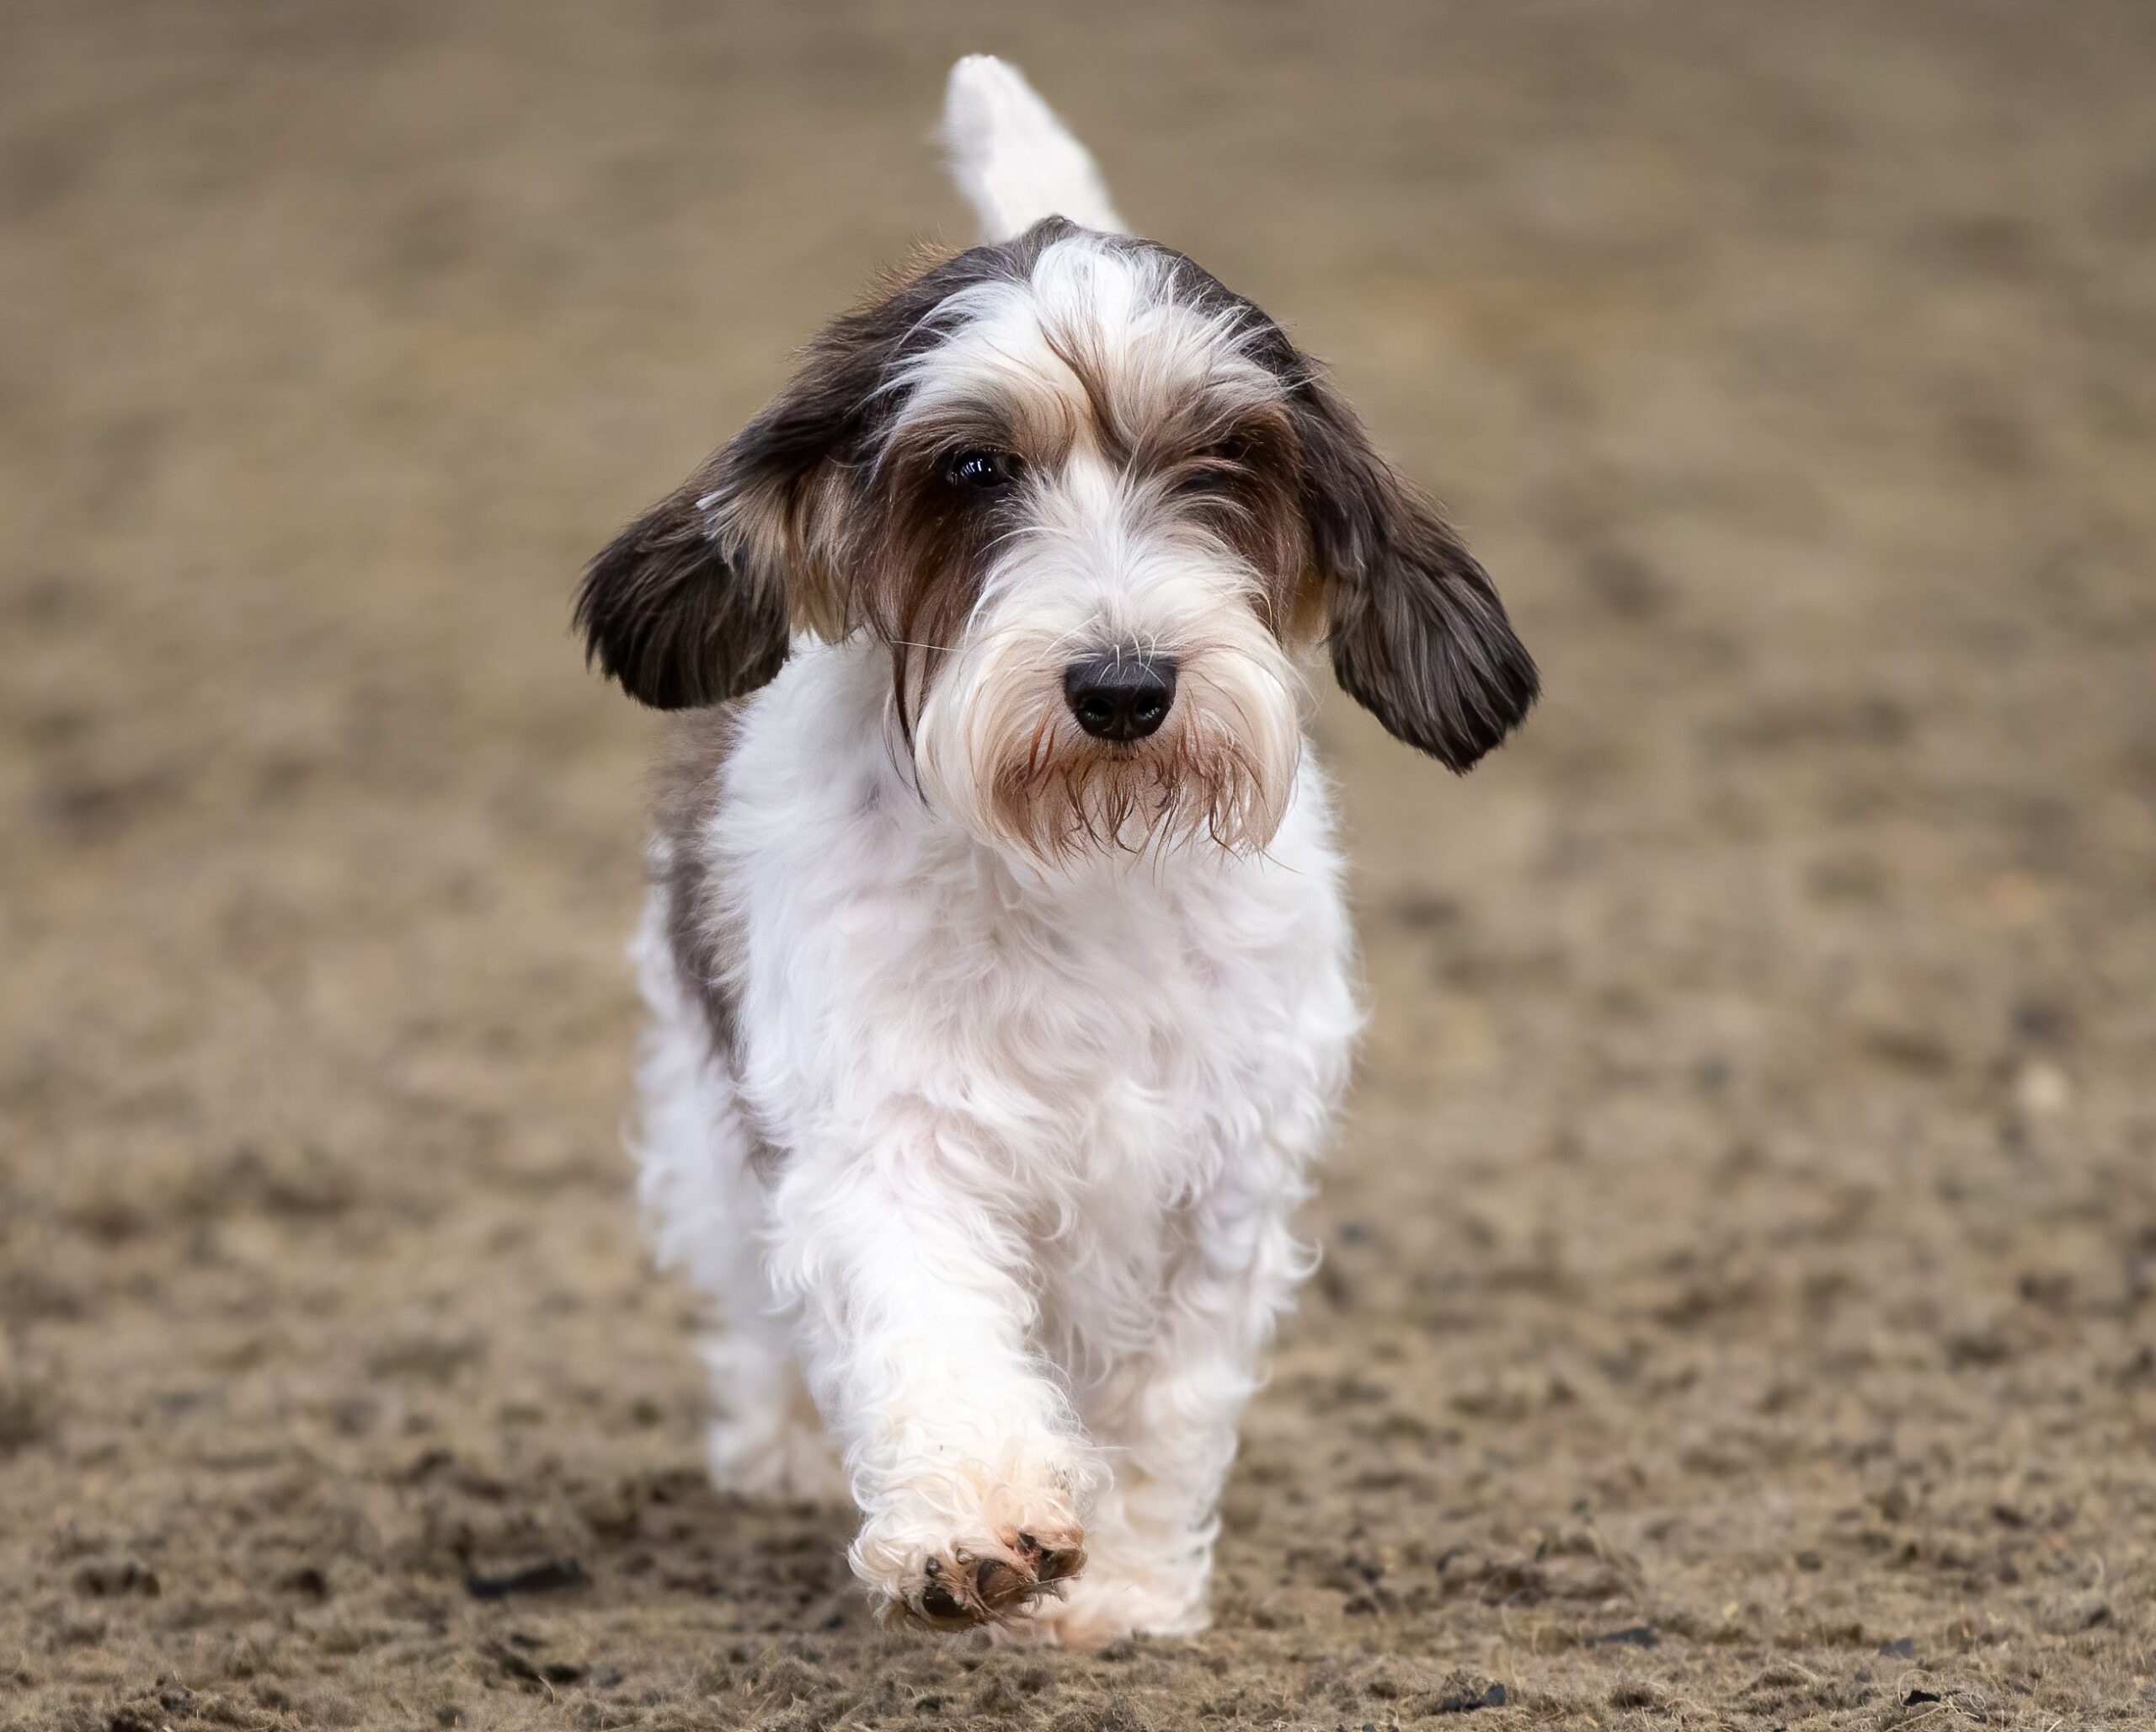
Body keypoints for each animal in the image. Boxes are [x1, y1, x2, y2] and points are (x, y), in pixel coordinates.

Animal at [573, 57, 1534, 1656]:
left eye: (1222, 460)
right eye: (973, 467)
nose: (1125, 684)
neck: (1078, 872)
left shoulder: (1218, 1179)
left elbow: (1162, 1405)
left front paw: (1126, 1595)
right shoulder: (886, 1134)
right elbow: (926, 1325)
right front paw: (976, 1529)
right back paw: (784, 1452)